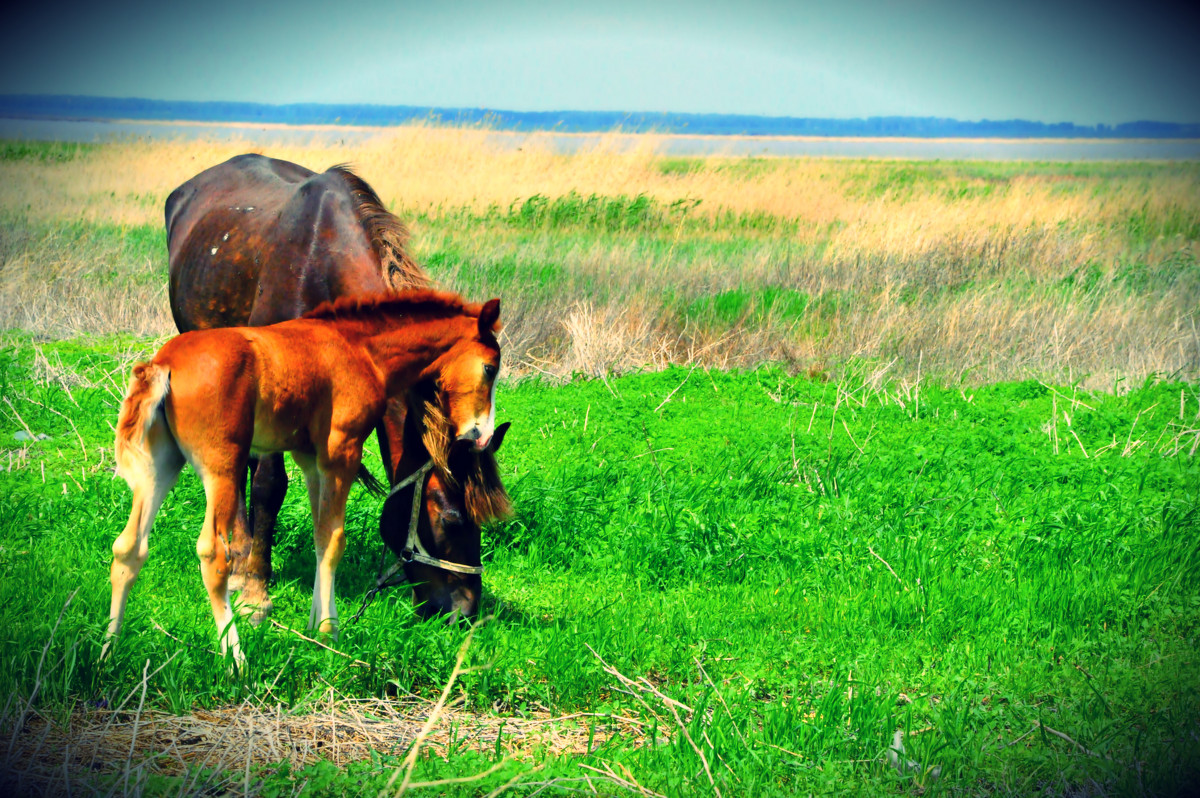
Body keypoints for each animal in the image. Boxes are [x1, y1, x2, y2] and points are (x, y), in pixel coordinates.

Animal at [100, 289, 499, 662]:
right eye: (491, 368)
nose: (481, 433)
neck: (359, 348)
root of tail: (162, 364)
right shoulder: (342, 453)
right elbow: (335, 540)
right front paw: (329, 632)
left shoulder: (312, 461)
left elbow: (321, 537)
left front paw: (314, 626)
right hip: (222, 467)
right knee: (213, 555)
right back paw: (235, 659)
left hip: (161, 464)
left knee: (128, 547)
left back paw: (108, 651)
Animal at [165, 153, 511, 614]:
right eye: (452, 520)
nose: (467, 613)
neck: (320, 261)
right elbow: (270, 485)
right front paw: (255, 588)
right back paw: (239, 559)